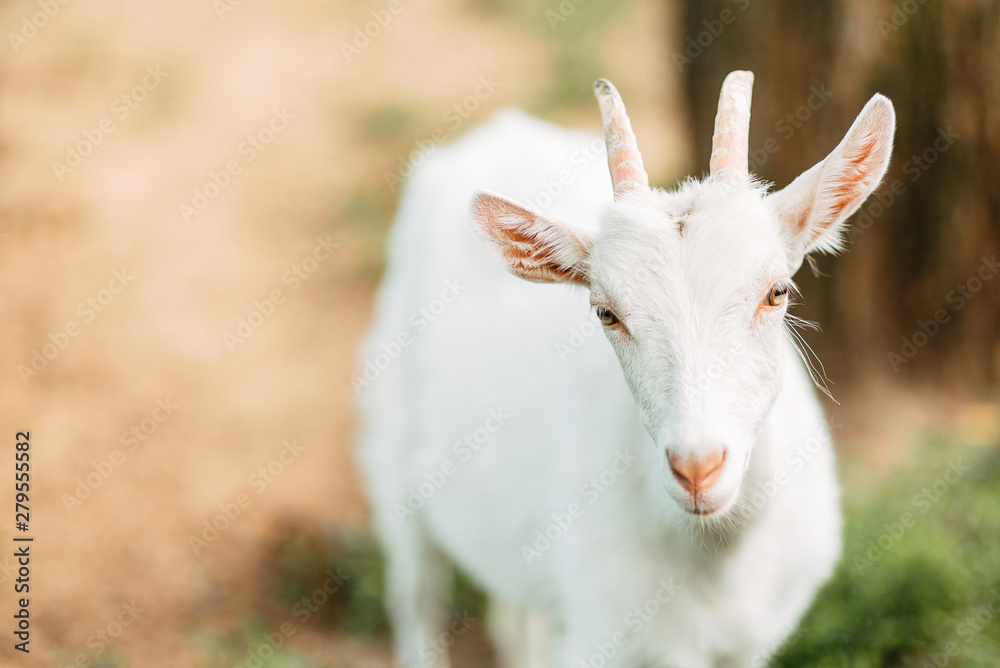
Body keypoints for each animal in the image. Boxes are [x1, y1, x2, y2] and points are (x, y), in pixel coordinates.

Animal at [356, 71, 895, 667]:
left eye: (777, 291)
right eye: (605, 312)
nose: (697, 468)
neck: (716, 560)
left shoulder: (750, 642)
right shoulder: (601, 636)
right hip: (391, 456)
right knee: (417, 594)